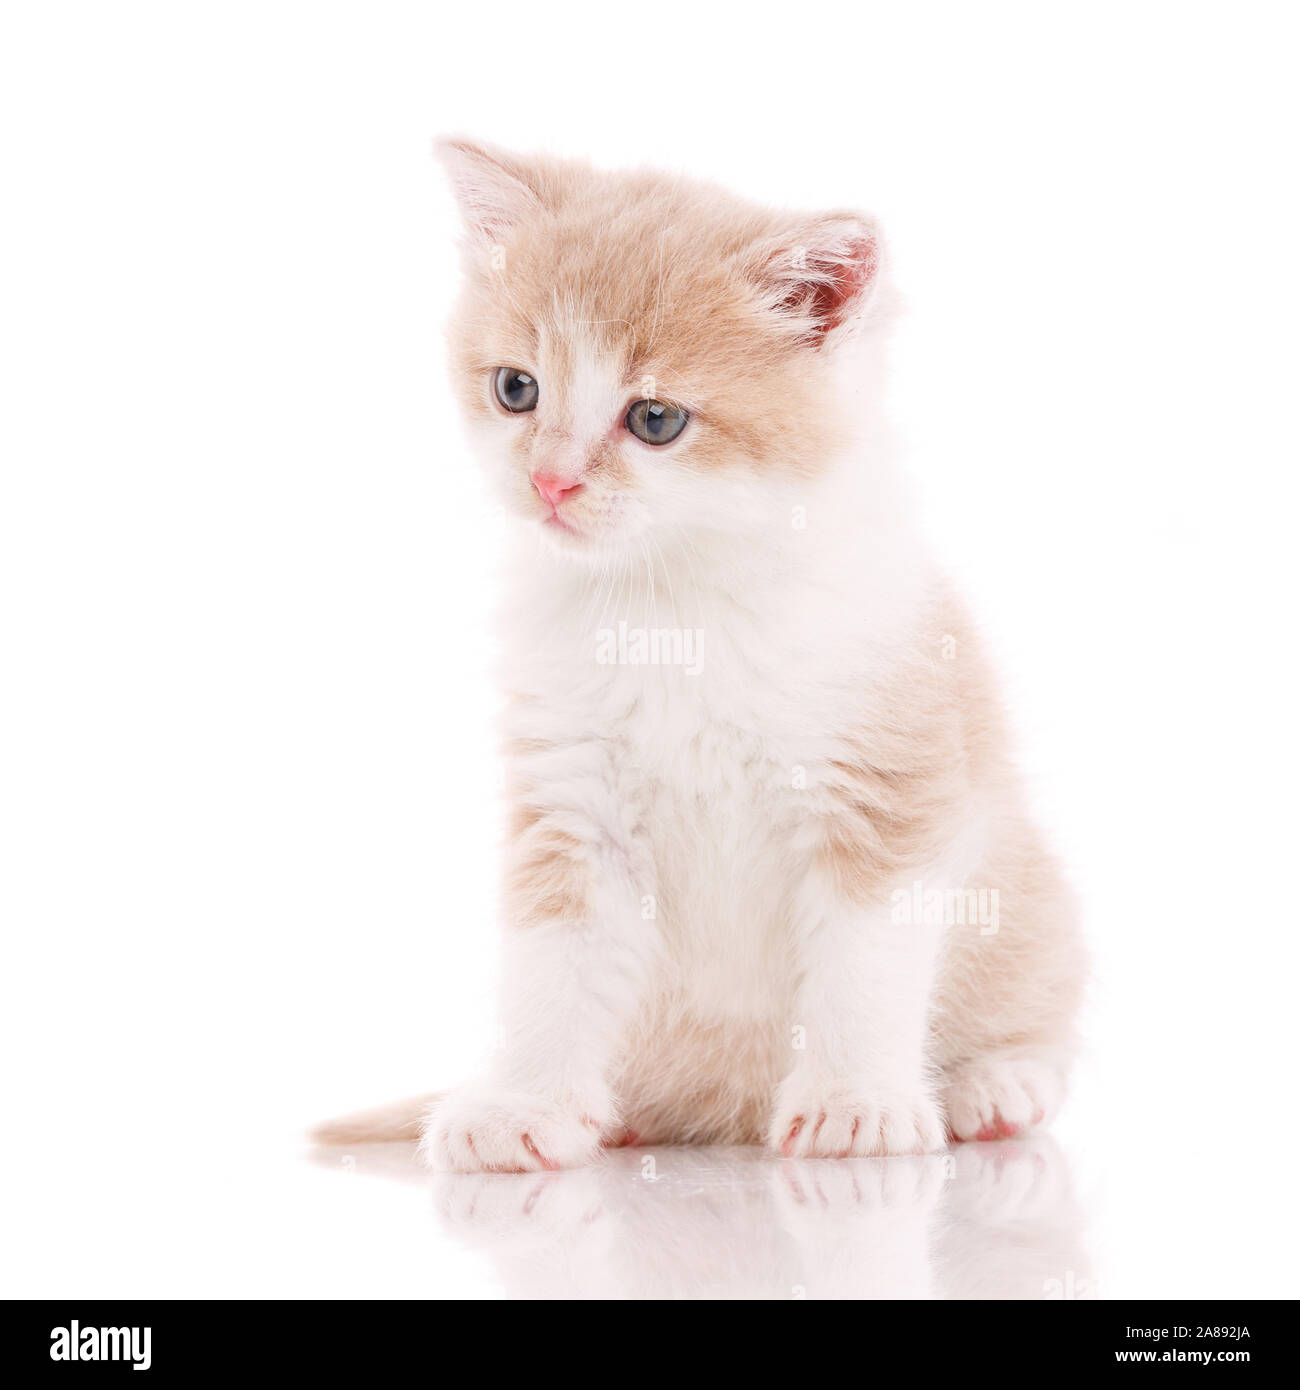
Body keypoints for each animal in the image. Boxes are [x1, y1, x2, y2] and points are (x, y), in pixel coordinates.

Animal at [318, 141, 1090, 1167]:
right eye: (516, 387)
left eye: (655, 421)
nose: (549, 481)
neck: (671, 604)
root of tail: (720, 1111)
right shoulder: (574, 804)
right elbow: (552, 968)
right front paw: (524, 1102)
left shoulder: (888, 786)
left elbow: (863, 963)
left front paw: (854, 1103)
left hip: (1027, 898)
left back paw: (993, 1086)